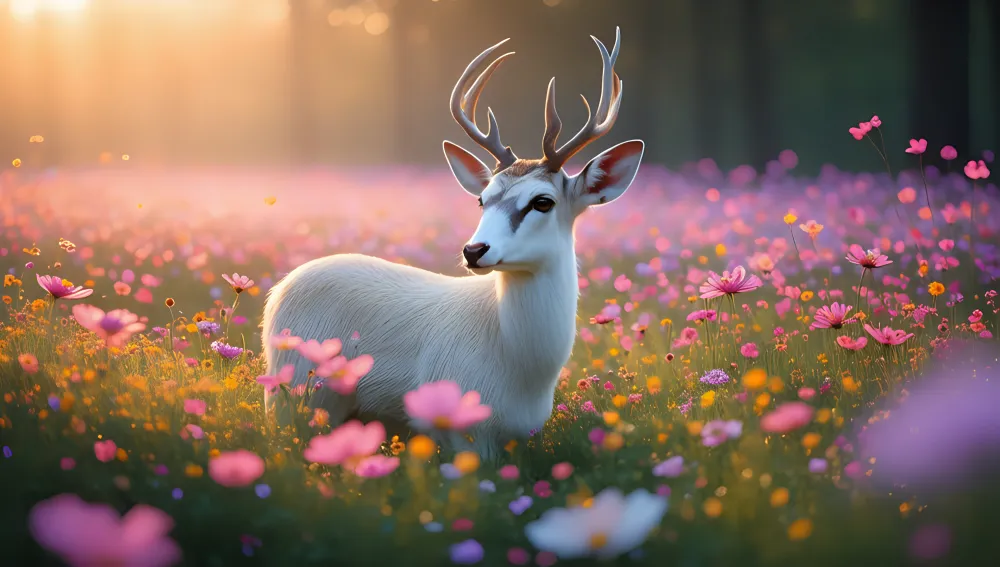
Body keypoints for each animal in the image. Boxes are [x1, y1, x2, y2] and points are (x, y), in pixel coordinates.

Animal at [261, 27, 644, 460]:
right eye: (482, 199)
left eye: (543, 201)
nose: (473, 250)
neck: (519, 369)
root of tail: (277, 292)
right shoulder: (462, 432)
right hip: (296, 395)